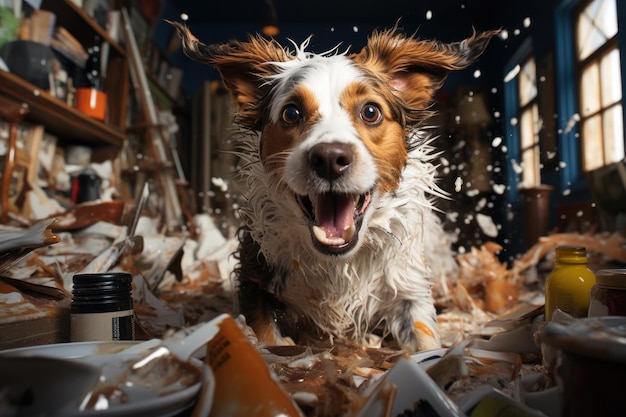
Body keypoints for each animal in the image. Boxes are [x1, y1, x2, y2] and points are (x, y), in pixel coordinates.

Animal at [171, 22, 498, 352]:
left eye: (370, 111)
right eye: (292, 113)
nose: (329, 158)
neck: (338, 265)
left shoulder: (410, 292)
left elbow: (426, 345)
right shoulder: (257, 281)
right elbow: (266, 339)